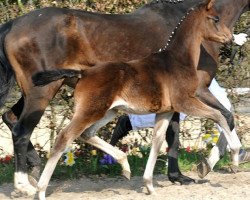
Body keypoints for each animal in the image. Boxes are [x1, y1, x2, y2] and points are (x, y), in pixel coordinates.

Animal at [32, 0, 239, 197]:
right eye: (215, 19)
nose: (230, 38)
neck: (177, 60)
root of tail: (83, 73)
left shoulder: (166, 111)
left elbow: (157, 142)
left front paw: (149, 186)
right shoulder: (186, 102)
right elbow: (220, 116)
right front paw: (235, 158)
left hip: (109, 111)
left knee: (87, 134)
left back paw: (125, 166)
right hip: (91, 111)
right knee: (64, 138)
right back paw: (40, 190)